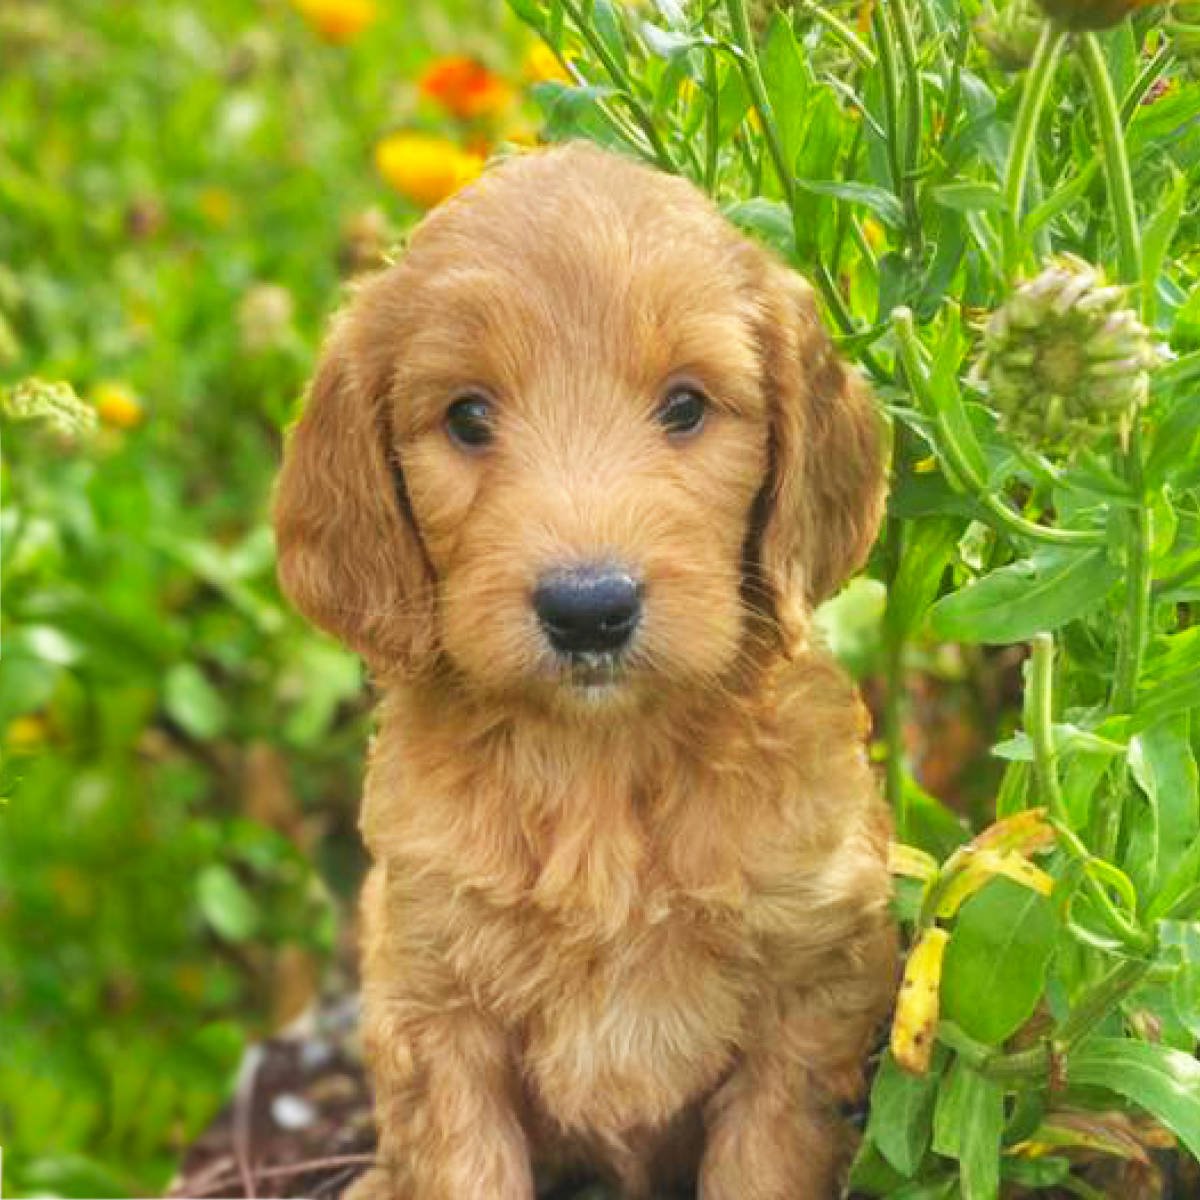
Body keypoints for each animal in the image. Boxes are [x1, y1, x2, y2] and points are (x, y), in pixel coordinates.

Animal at [272, 142, 892, 1200]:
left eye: (684, 406)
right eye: (467, 417)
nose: (588, 608)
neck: (601, 766)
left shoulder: (809, 997)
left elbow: (762, 1161)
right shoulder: (434, 1009)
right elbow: (462, 1170)